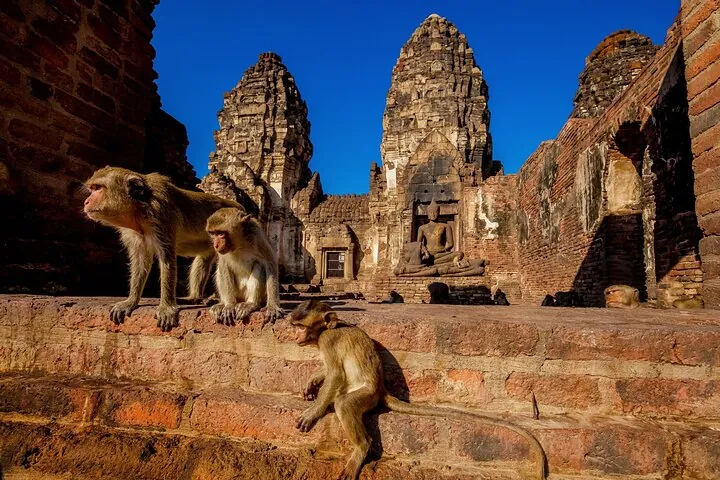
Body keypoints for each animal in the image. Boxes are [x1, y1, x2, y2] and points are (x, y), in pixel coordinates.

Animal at [83, 166, 239, 331]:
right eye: (92, 189)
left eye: (98, 188)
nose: (86, 202)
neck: (138, 209)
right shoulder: (133, 232)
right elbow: (140, 262)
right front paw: (131, 301)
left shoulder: (162, 214)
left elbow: (167, 259)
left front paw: (166, 308)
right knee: (203, 259)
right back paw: (194, 297)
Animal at [289, 300, 547, 480]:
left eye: (300, 327)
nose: (294, 336)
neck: (325, 330)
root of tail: (381, 390)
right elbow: (327, 371)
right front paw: (311, 382)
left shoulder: (328, 340)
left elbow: (335, 374)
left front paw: (313, 412)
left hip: (367, 396)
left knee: (344, 404)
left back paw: (361, 448)